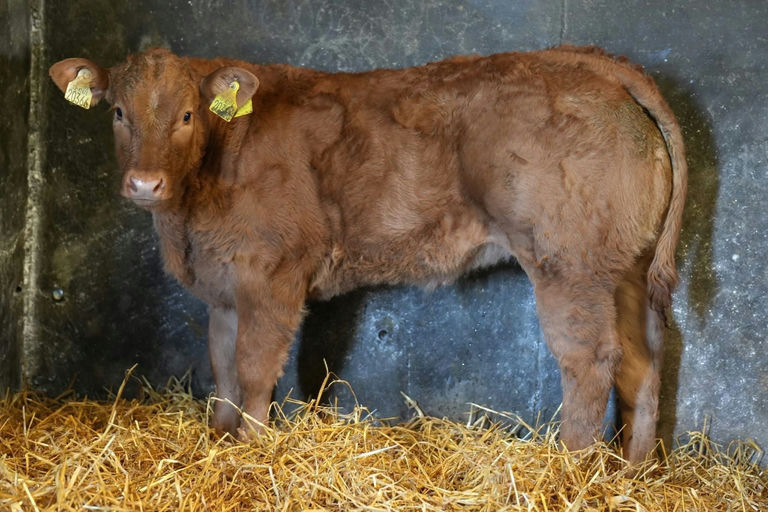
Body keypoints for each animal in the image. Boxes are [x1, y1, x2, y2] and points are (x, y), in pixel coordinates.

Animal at [49, 45, 686, 463]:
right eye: (118, 112)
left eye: (186, 115)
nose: (144, 184)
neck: (189, 225)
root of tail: (586, 58)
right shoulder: (224, 288)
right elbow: (222, 368)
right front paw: (220, 441)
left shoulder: (272, 272)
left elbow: (254, 368)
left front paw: (252, 451)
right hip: (623, 267)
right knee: (643, 361)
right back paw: (633, 470)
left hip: (568, 263)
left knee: (591, 359)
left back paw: (569, 468)